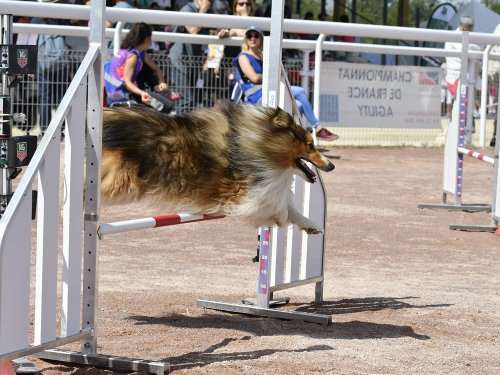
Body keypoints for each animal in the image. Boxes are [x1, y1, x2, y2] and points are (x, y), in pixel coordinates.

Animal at [100, 101, 336, 234]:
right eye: (310, 145)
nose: (332, 165)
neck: (260, 142)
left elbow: (291, 208)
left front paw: (311, 226)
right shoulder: (244, 193)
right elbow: (279, 208)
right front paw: (279, 220)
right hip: (120, 182)